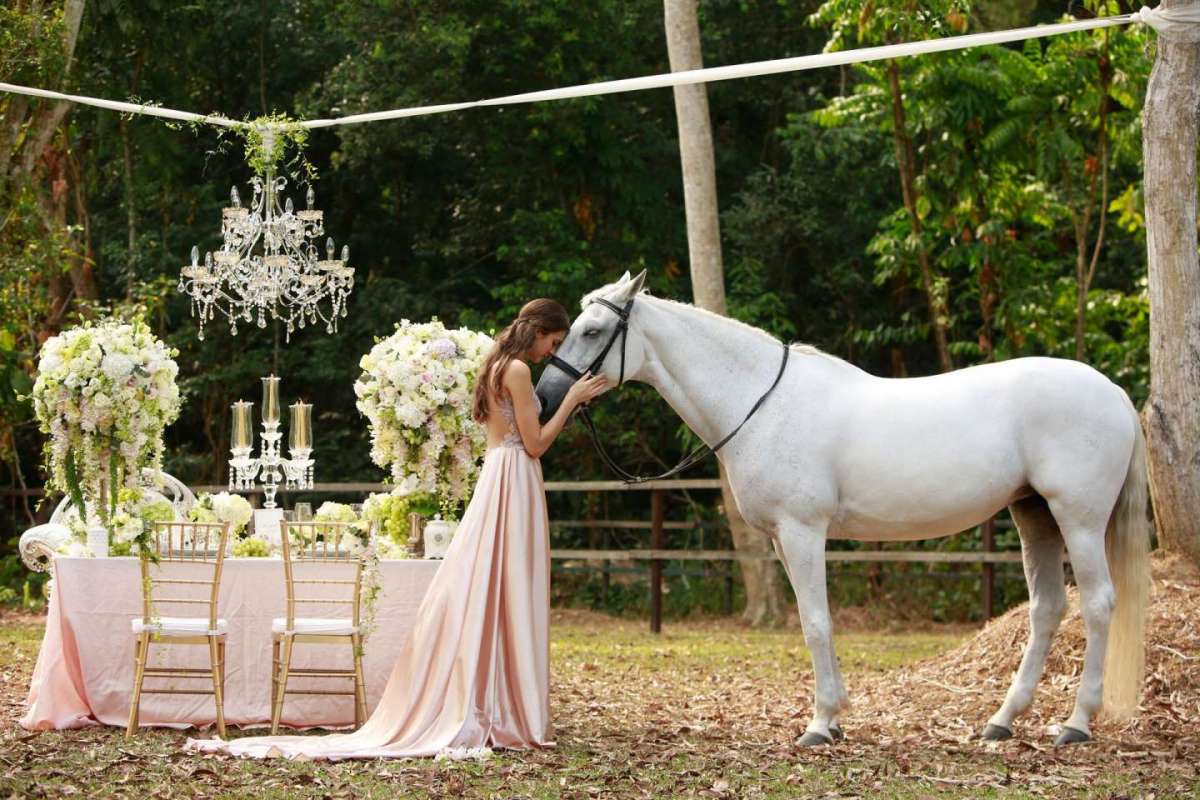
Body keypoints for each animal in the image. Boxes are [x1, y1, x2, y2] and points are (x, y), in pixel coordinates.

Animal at [537, 272, 1152, 748]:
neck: (761, 403)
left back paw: (1076, 724)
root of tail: (1115, 394)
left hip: (1077, 519)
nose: (544, 398)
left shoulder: (803, 531)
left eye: (592, 331)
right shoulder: (783, 539)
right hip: (1033, 514)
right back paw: (1002, 721)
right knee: (1047, 608)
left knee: (1098, 603)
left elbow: (816, 622)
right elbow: (815, 620)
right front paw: (834, 721)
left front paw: (819, 724)